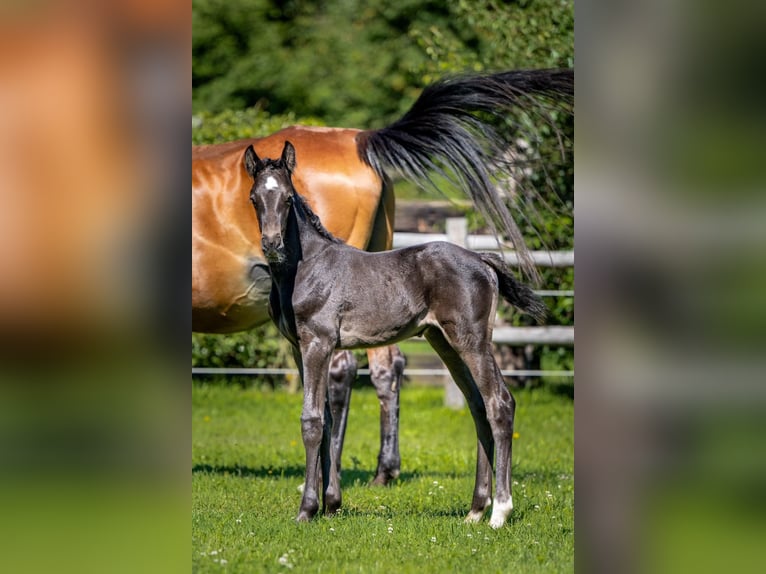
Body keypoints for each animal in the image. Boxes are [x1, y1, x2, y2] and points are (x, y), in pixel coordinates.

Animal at [244, 142, 544, 528]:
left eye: (287, 198)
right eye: (254, 198)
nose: (272, 245)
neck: (304, 267)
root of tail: (481, 259)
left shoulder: (318, 343)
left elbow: (311, 420)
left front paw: (307, 510)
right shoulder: (300, 349)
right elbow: (326, 420)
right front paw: (331, 504)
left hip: (472, 341)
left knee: (499, 403)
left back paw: (500, 512)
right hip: (444, 343)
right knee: (478, 407)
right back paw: (476, 510)